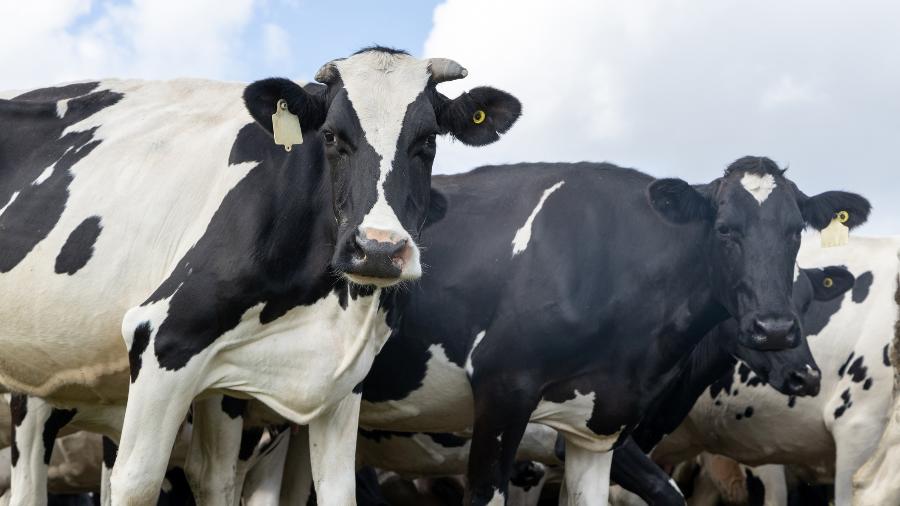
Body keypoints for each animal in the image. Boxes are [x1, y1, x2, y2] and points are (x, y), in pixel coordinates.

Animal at [0, 45, 520, 505]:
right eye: (330, 136)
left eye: (427, 140)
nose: (378, 249)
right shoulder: (160, 336)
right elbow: (137, 484)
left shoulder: (336, 380)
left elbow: (320, 490)